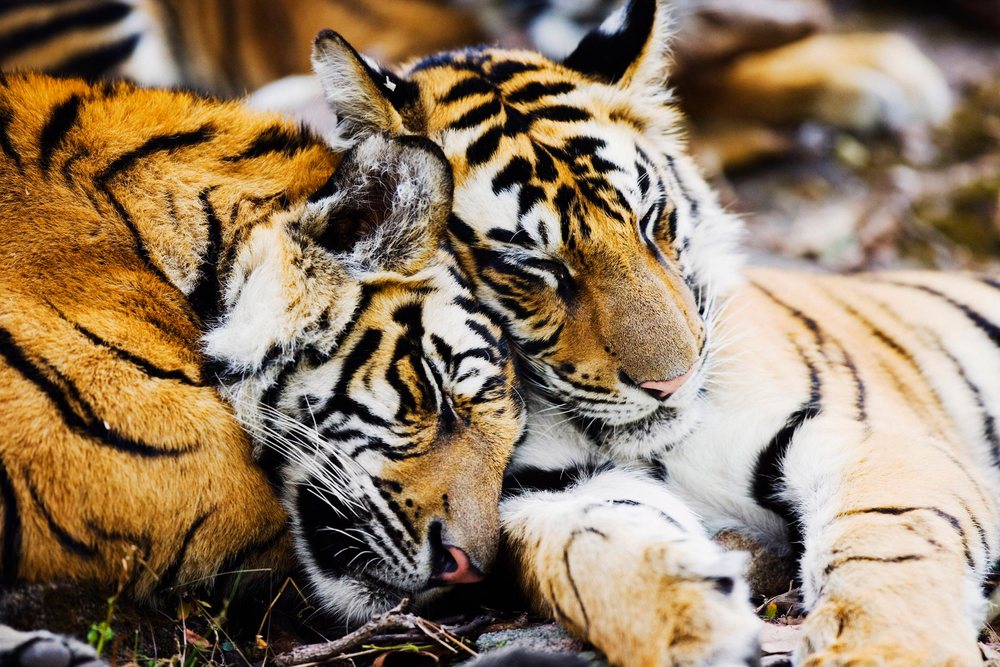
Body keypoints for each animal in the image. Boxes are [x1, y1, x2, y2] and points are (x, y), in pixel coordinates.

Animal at [303, 1, 1000, 665]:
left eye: (651, 220)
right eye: (531, 265)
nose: (674, 381)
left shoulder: (865, 436)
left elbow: (889, 541)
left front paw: (886, 649)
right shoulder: (539, 489)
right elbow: (590, 549)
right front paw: (694, 624)